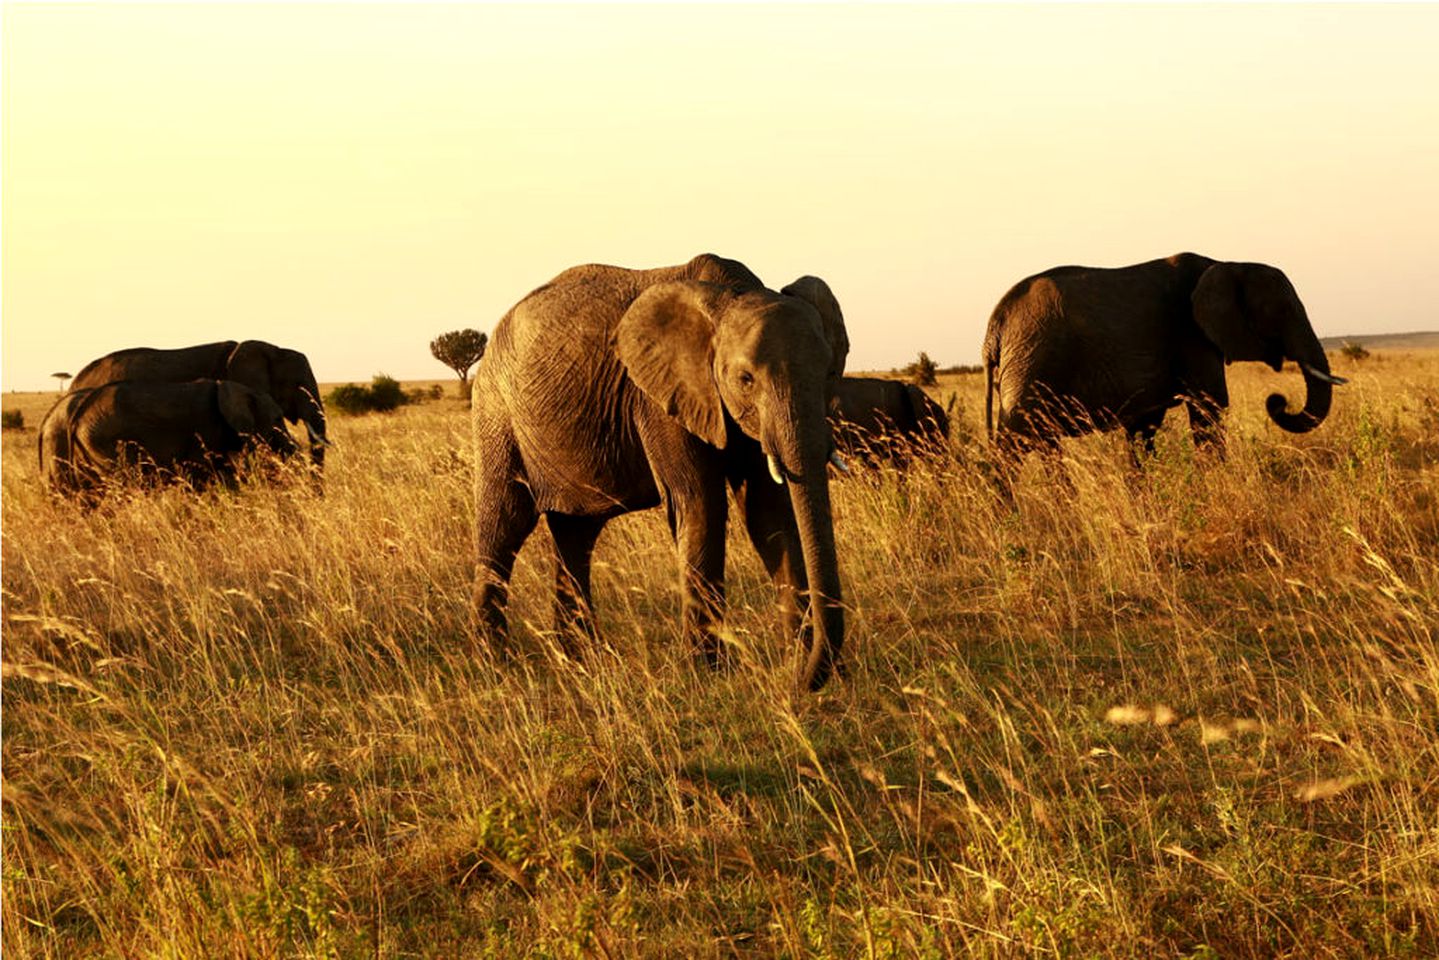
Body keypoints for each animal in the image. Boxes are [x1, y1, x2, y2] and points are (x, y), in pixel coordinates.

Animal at [471, 253, 851, 690]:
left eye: (829, 373)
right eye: (746, 379)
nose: (802, 680)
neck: (730, 295)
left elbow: (767, 514)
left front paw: (797, 661)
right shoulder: (658, 400)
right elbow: (700, 506)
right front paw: (709, 675)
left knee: (576, 535)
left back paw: (582, 662)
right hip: (497, 415)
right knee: (504, 527)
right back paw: (495, 665)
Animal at [984, 254, 1341, 466]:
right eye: (1283, 311)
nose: (1277, 401)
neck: (1228, 263)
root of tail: (995, 325)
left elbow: (1144, 427)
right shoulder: (1191, 335)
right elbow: (1209, 407)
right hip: (1032, 364)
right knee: (1014, 446)